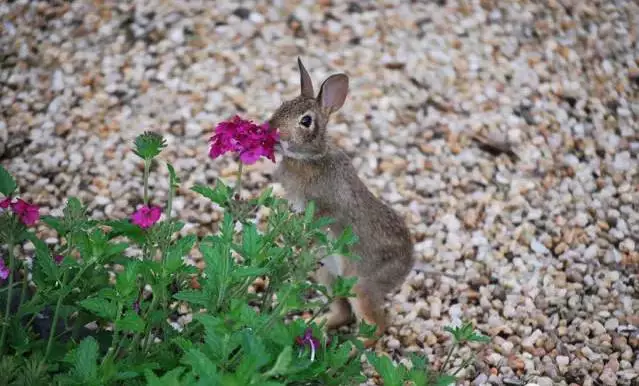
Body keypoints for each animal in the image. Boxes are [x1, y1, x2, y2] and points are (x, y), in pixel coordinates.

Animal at [266, 56, 412, 346]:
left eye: (306, 121)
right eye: (282, 105)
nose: (272, 130)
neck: (310, 158)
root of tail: (408, 266)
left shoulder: (327, 205)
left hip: (360, 284)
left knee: (376, 325)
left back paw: (354, 350)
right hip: (326, 273)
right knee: (342, 312)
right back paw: (312, 326)